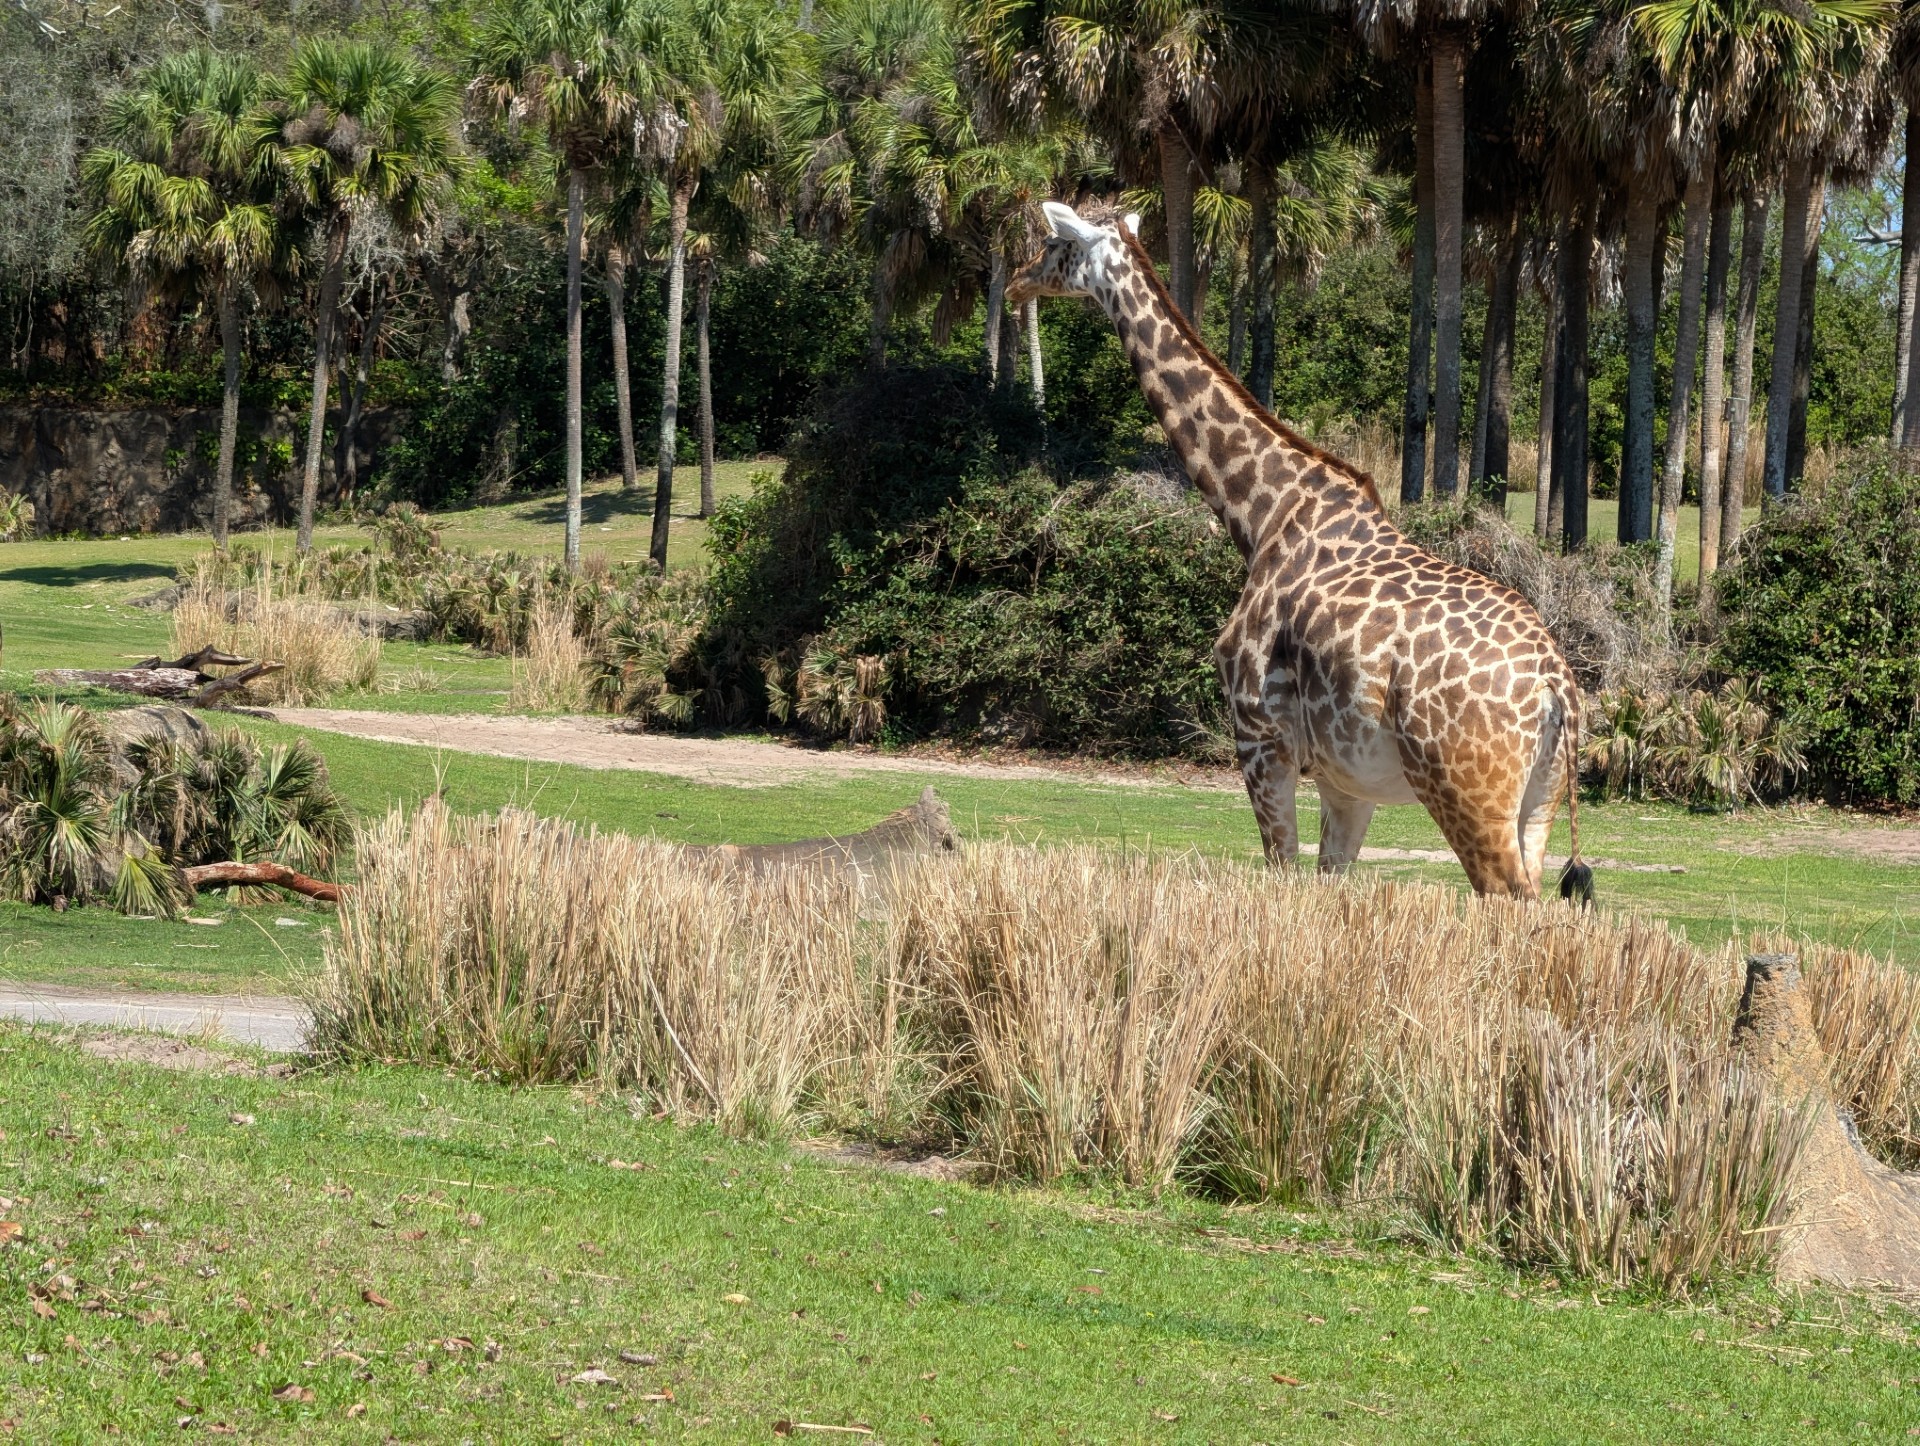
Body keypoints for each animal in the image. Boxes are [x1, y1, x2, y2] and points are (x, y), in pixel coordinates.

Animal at [1008, 202, 1590, 901]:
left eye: (1053, 243)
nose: (1014, 281)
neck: (1263, 516)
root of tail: (1556, 689)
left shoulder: (1259, 739)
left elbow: (1280, 874)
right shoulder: (1345, 781)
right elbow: (1327, 888)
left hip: (1466, 795)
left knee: (1506, 898)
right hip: (1539, 803)